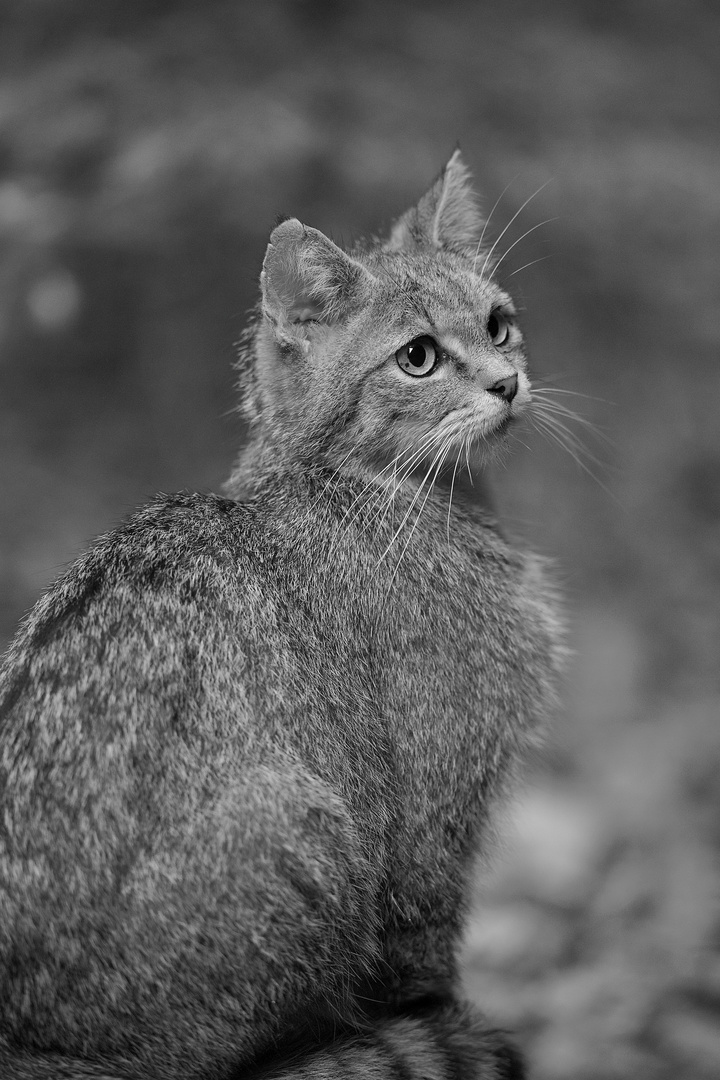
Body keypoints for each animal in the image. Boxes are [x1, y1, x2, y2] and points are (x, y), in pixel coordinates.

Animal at [0, 152, 561, 1080]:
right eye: (418, 357)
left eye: (498, 325)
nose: (507, 381)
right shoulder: (431, 823)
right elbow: (428, 974)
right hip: (301, 823)